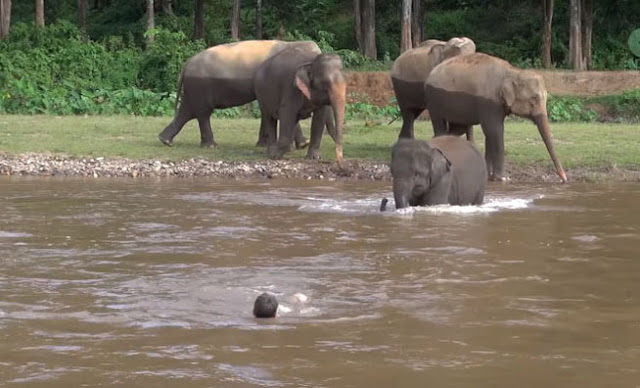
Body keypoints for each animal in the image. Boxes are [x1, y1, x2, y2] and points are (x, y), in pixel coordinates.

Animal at [156, 39, 316, 149]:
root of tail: (186, 65)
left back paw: (165, 141)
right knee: (202, 113)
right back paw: (211, 146)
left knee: (187, 111)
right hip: (199, 86)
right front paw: (304, 144)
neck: (290, 44)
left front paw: (262, 145)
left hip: (193, 88)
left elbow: (267, 108)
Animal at [428, 52, 568, 183]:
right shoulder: (489, 102)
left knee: (456, 129)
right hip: (434, 100)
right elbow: (495, 130)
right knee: (440, 126)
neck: (512, 71)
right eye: (534, 98)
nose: (564, 179)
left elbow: (491, 133)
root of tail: (431, 73)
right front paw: (503, 178)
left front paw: (489, 176)